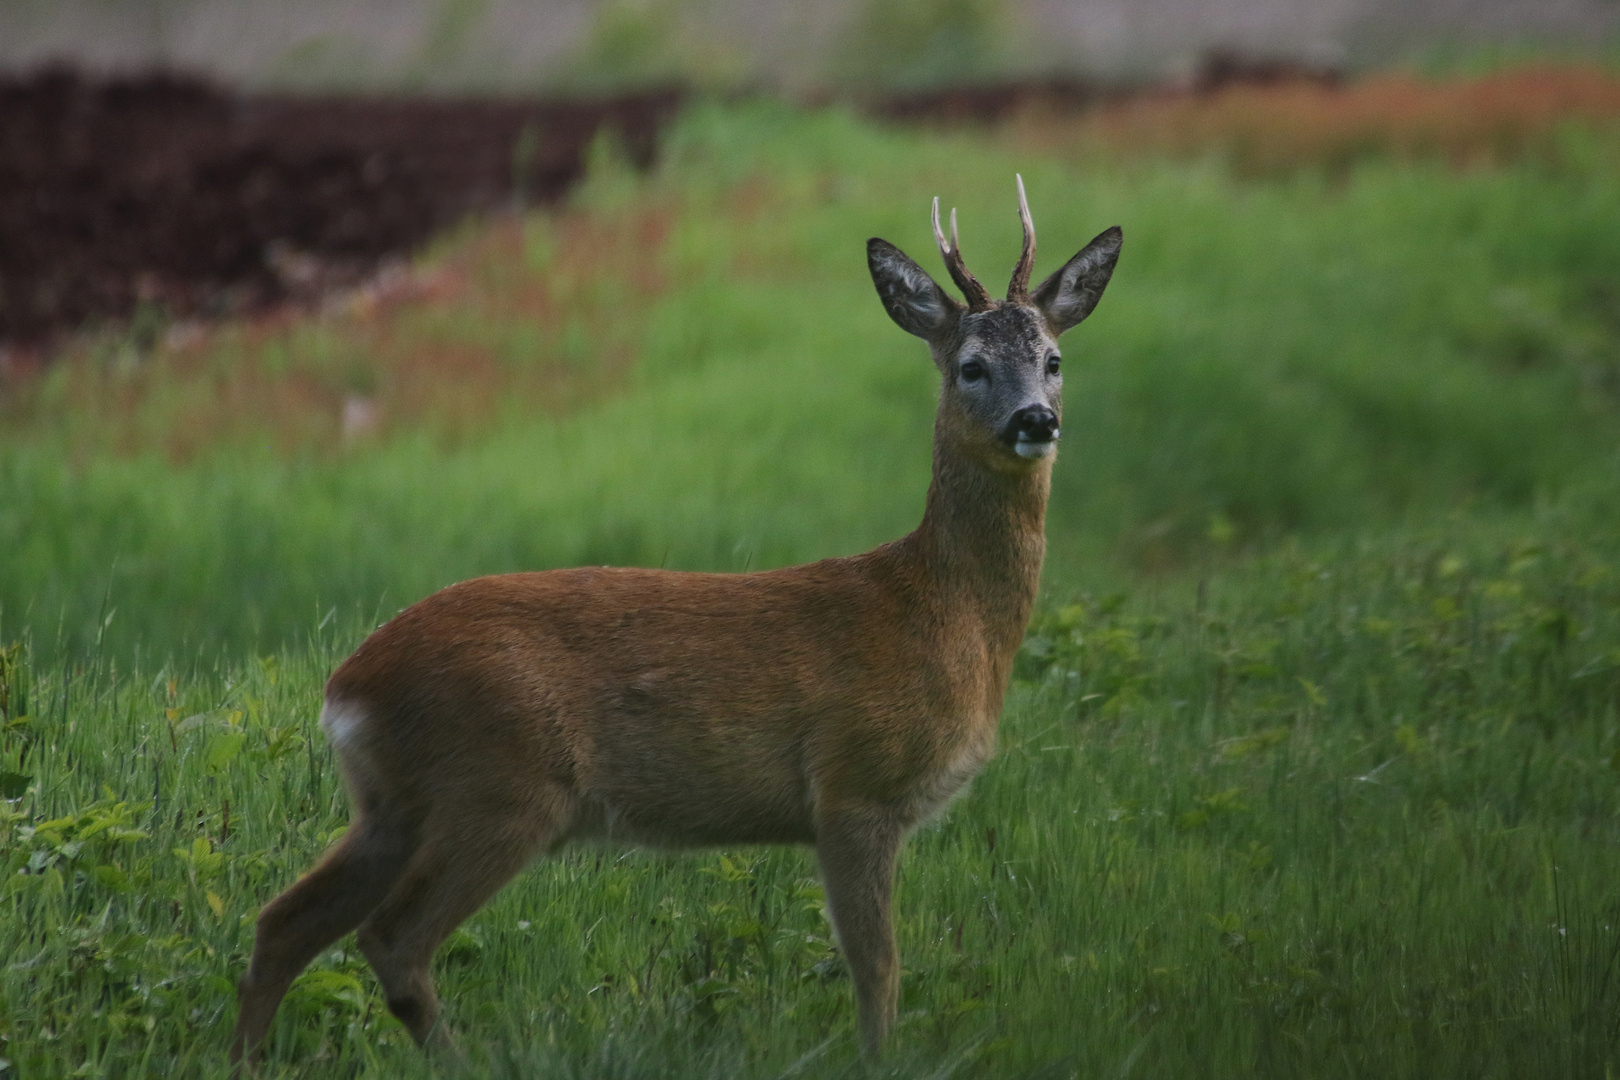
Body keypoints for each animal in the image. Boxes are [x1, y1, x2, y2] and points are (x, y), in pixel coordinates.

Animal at [228, 177, 1121, 1062]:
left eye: (1053, 359)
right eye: (971, 367)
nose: (1035, 420)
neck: (943, 615)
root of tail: (346, 690)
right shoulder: (853, 788)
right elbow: (878, 970)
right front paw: (882, 1062)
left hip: (393, 803)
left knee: (282, 921)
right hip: (499, 785)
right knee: (392, 939)